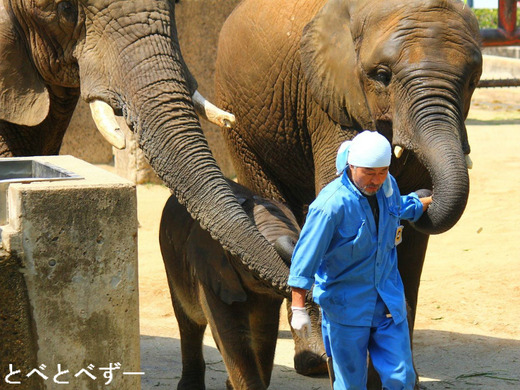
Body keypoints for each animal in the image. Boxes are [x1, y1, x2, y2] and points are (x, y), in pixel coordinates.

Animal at [159, 179, 308, 390]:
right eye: (244, 262)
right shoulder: (211, 273)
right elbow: (232, 333)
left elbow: (264, 331)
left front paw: (231, 384)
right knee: (189, 321)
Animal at [213, 0, 482, 386]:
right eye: (382, 75)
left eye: (473, 80)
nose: (424, 194)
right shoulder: (331, 102)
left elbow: (412, 251)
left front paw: (406, 377)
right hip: (238, 120)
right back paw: (314, 362)